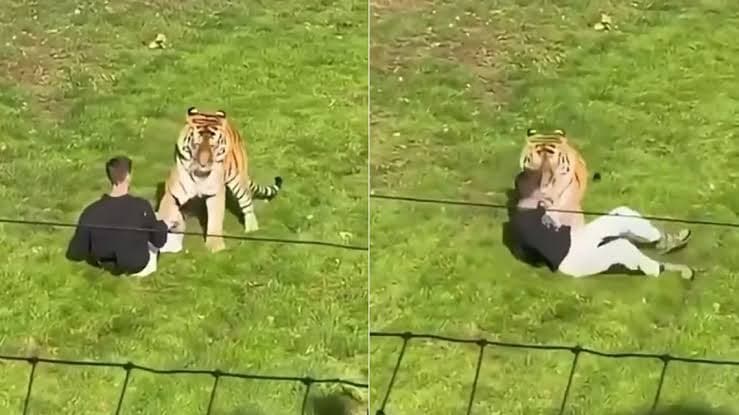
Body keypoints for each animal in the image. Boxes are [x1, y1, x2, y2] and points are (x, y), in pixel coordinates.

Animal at [157, 107, 283, 253]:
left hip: (238, 181)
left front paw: (216, 248)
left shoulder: (215, 193)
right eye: (196, 145)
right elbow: (166, 212)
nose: (203, 164)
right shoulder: (172, 193)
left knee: (247, 204)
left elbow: (215, 220)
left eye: (213, 146)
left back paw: (252, 230)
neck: (199, 175)